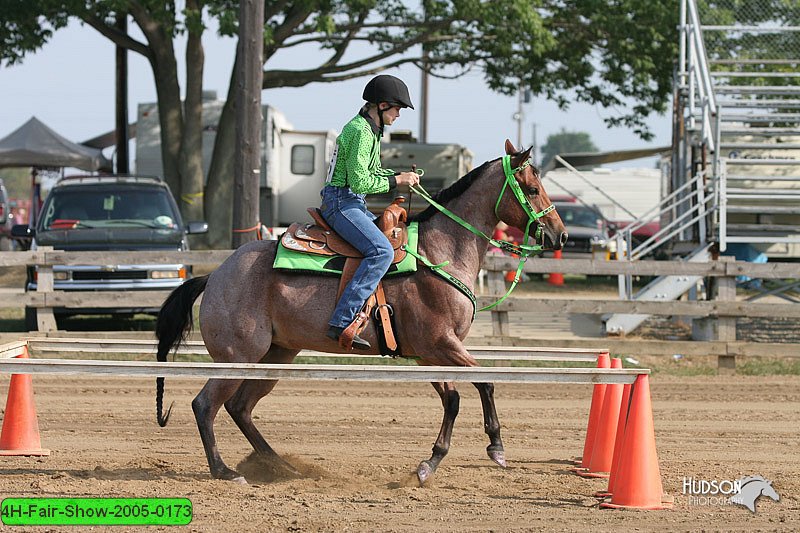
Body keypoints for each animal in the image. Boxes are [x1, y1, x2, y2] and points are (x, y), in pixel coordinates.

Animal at [155, 139, 568, 484]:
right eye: (533, 189)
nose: (560, 234)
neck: (439, 252)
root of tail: (215, 275)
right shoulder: (441, 344)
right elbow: (481, 384)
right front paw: (494, 448)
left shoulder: (428, 353)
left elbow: (451, 399)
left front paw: (430, 463)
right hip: (239, 356)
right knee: (205, 404)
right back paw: (224, 470)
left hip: (276, 356)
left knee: (239, 407)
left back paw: (282, 466)